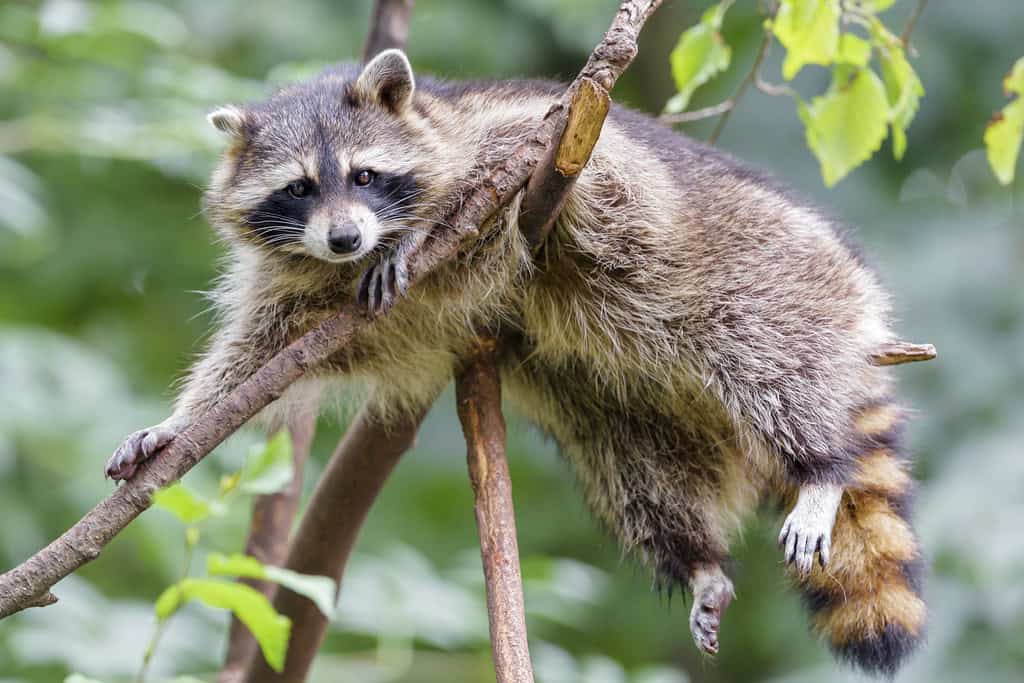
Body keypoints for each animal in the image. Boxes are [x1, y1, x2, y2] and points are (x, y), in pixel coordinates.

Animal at [106, 49, 926, 675]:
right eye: (300, 188)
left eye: (365, 175)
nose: (344, 238)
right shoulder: (306, 291)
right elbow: (254, 357)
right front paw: (177, 423)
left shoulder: (533, 143)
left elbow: (516, 168)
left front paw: (424, 233)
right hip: (622, 404)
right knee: (640, 474)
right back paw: (696, 559)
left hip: (765, 280)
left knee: (768, 365)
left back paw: (820, 469)